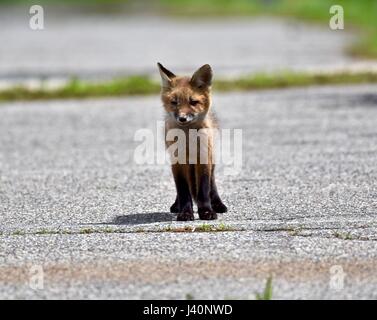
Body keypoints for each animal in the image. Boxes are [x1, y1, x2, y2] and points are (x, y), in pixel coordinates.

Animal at [156, 62, 226, 220]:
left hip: (211, 158)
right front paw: (185, 212)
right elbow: (183, 190)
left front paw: (206, 211)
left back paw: (218, 204)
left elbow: (204, 189)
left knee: (212, 183)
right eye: (174, 102)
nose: (182, 118)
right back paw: (177, 205)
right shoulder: (178, 161)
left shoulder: (204, 158)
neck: (189, 140)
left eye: (193, 102)